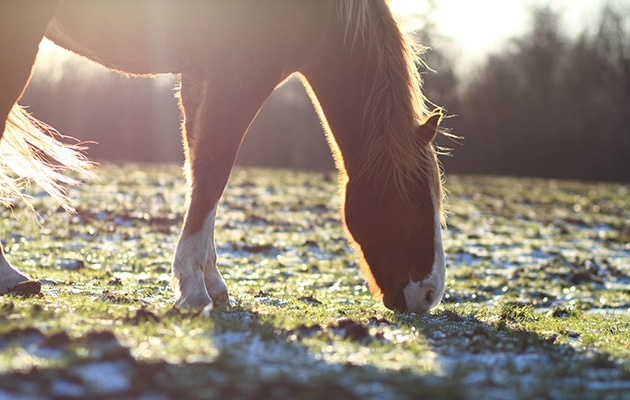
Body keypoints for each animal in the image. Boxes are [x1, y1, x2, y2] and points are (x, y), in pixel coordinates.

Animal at [0, 0, 446, 312]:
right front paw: (193, 291)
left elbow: (199, 172)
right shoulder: (243, 74)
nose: (430, 294)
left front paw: (211, 283)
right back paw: (12, 277)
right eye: (417, 201)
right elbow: (214, 172)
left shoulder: (201, 76)